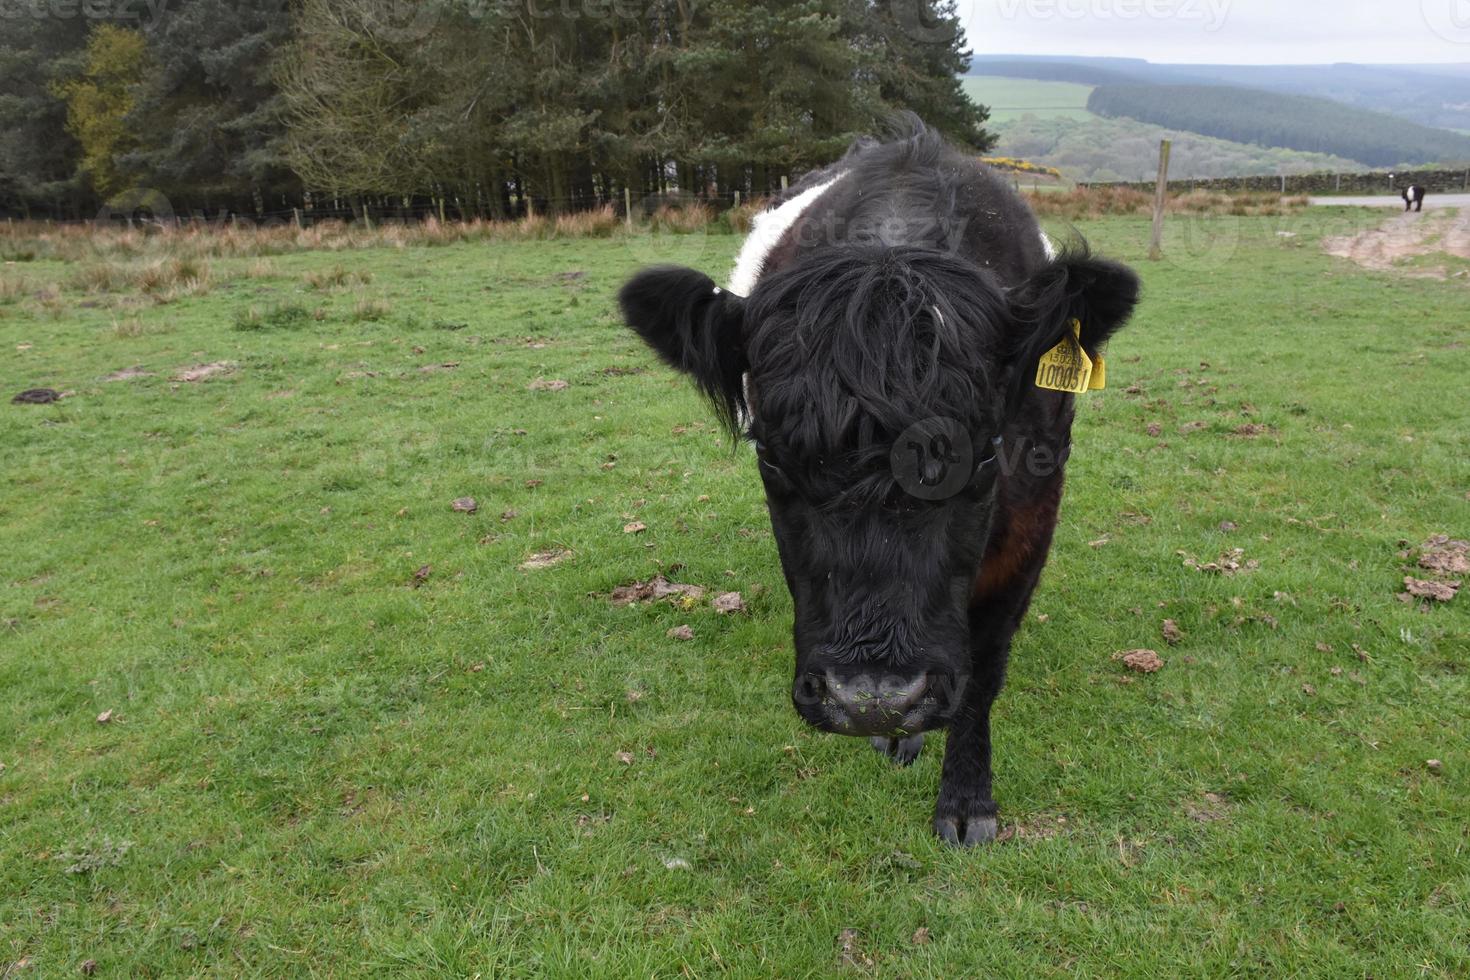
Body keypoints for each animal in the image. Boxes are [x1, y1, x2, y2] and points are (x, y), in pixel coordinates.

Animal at [614, 119, 1140, 846]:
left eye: (986, 457)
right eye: (770, 458)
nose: (872, 702)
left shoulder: (1035, 506)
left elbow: (985, 664)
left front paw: (967, 797)